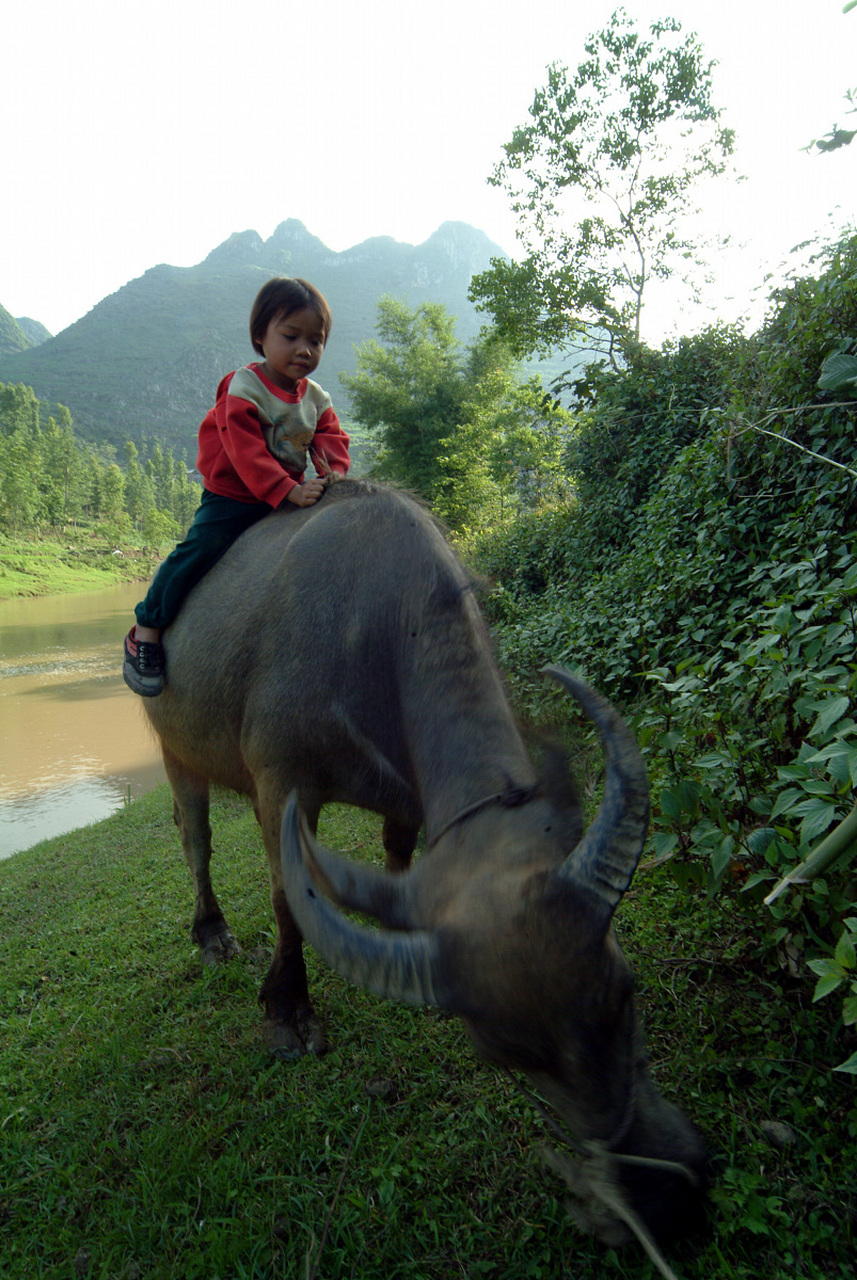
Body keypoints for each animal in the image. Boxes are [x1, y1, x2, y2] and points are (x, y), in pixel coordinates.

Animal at [145, 478, 711, 1239]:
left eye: (624, 993)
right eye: (504, 1054)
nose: (663, 1198)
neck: (372, 626)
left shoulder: (407, 797)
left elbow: (397, 855)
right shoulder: (279, 782)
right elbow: (287, 899)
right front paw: (287, 1009)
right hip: (175, 749)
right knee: (195, 839)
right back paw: (210, 932)